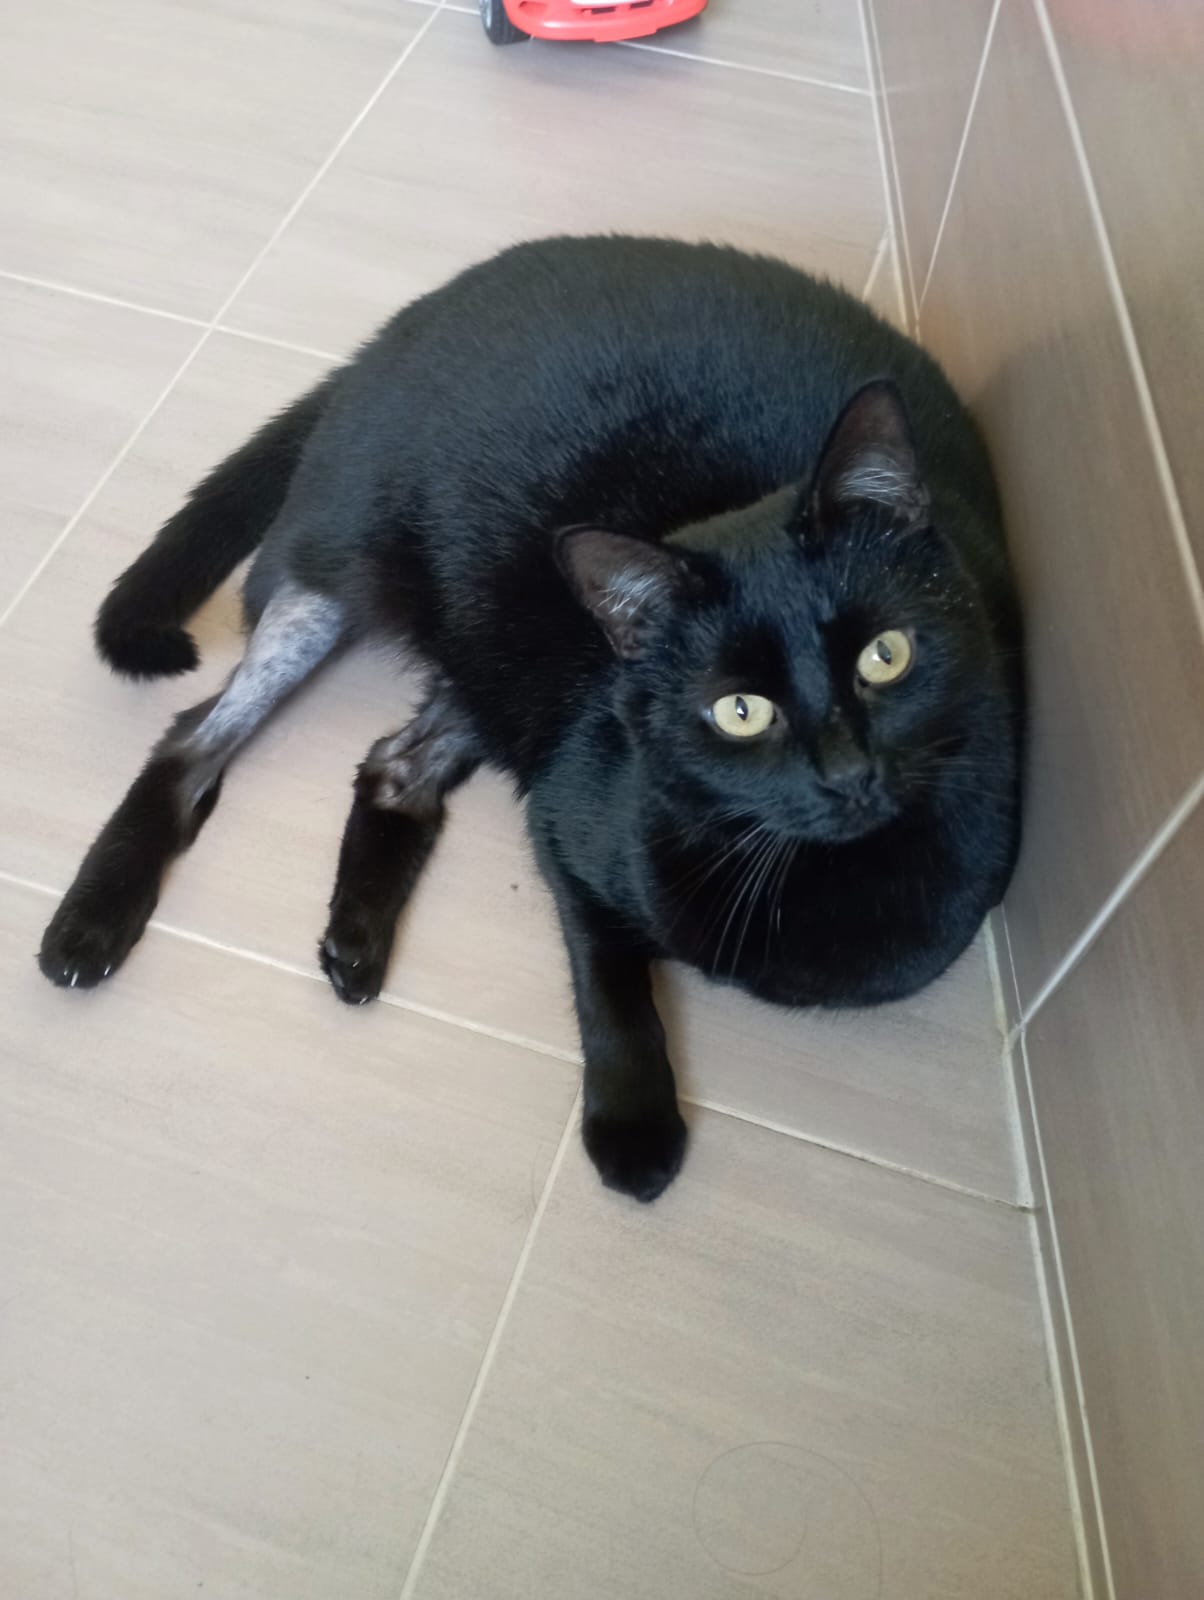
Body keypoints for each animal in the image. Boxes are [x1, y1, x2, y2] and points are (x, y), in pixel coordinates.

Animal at [38, 235, 1023, 1203]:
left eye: (885, 657)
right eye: (741, 711)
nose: (849, 774)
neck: (793, 867)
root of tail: (407, 323)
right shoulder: (566, 830)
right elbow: (613, 983)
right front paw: (632, 1129)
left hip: (496, 654)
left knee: (395, 765)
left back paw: (354, 942)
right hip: (342, 584)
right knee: (195, 739)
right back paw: (90, 925)